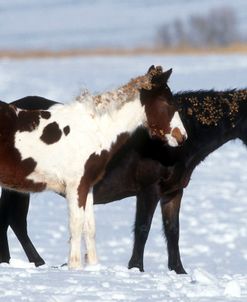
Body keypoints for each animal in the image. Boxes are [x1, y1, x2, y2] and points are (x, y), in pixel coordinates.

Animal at [0, 66, 186, 268]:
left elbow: (89, 228)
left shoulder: (87, 185)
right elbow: (76, 225)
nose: (182, 136)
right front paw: (74, 265)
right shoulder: (76, 185)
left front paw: (93, 266)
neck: (93, 130)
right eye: (166, 101)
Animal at [0, 88, 247, 272]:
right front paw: (136, 267)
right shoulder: (149, 190)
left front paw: (179, 271)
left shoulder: (173, 192)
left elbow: (173, 231)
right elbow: (143, 228)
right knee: (16, 222)